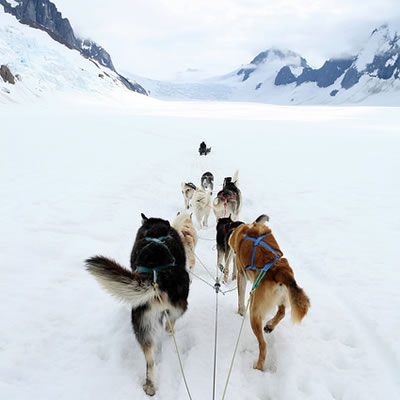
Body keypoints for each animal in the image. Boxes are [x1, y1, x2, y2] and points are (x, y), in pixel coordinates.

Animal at [85, 214, 191, 396]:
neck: (156, 232)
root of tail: (157, 276)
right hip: (178, 309)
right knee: (169, 326)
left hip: (143, 326)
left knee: (150, 362)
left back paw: (150, 386)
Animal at [228, 222, 310, 372]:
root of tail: (280, 270)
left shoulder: (241, 274)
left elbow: (240, 298)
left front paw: (240, 312)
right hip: (280, 298)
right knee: (281, 312)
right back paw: (270, 325)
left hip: (254, 312)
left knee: (263, 345)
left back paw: (258, 367)